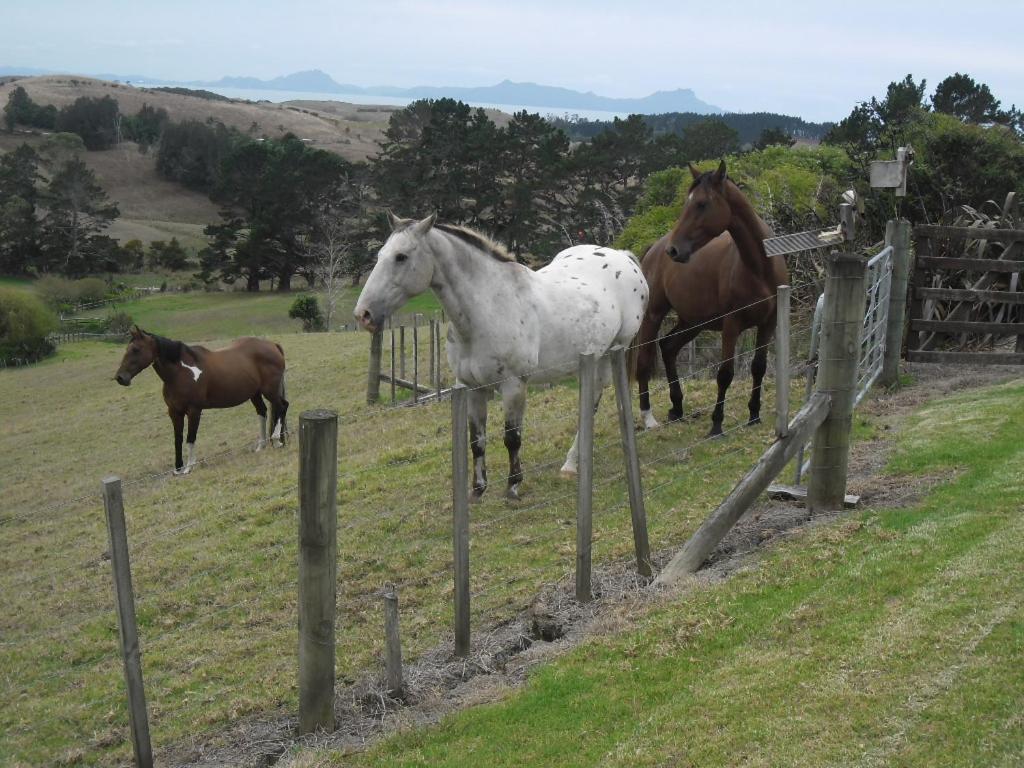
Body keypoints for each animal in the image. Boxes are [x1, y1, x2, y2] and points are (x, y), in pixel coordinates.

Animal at [115, 329, 288, 479]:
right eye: (127, 349)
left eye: (136, 349)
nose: (120, 377)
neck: (180, 372)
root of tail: (273, 345)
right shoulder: (174, 412)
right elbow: (177, 439)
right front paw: (178, 468)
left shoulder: (194, 411)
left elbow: (190, 437)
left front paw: (189, 467)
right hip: (255, 394)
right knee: (263, 412)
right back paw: (261, 445)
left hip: (270, 391)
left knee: (282, 406)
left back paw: (276, 440)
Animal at [356, 214, 643, 501]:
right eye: (380, 255)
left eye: (401, 257)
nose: (363, 314)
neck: (490, 307)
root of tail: (623, 256)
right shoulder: (472, 388)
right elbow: (477, 440)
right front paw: (477, 489)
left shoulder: (514, 385)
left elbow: (512, 438)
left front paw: (513, 486)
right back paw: (572, 463)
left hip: (615, 351)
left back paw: (573, 462)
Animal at [634, 160, 786, 438]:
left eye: (702, 204)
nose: (674, 250)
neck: (759, 268)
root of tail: (654, 250)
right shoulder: (732, 324)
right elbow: (725, 373)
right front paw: (716, 424)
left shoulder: (768, 323)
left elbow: (758, 367)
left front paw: (754, 415)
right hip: (654, 315)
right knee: (644, 360)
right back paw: (648, 418)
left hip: (693, 322)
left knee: (668, 347)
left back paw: (677, 408)